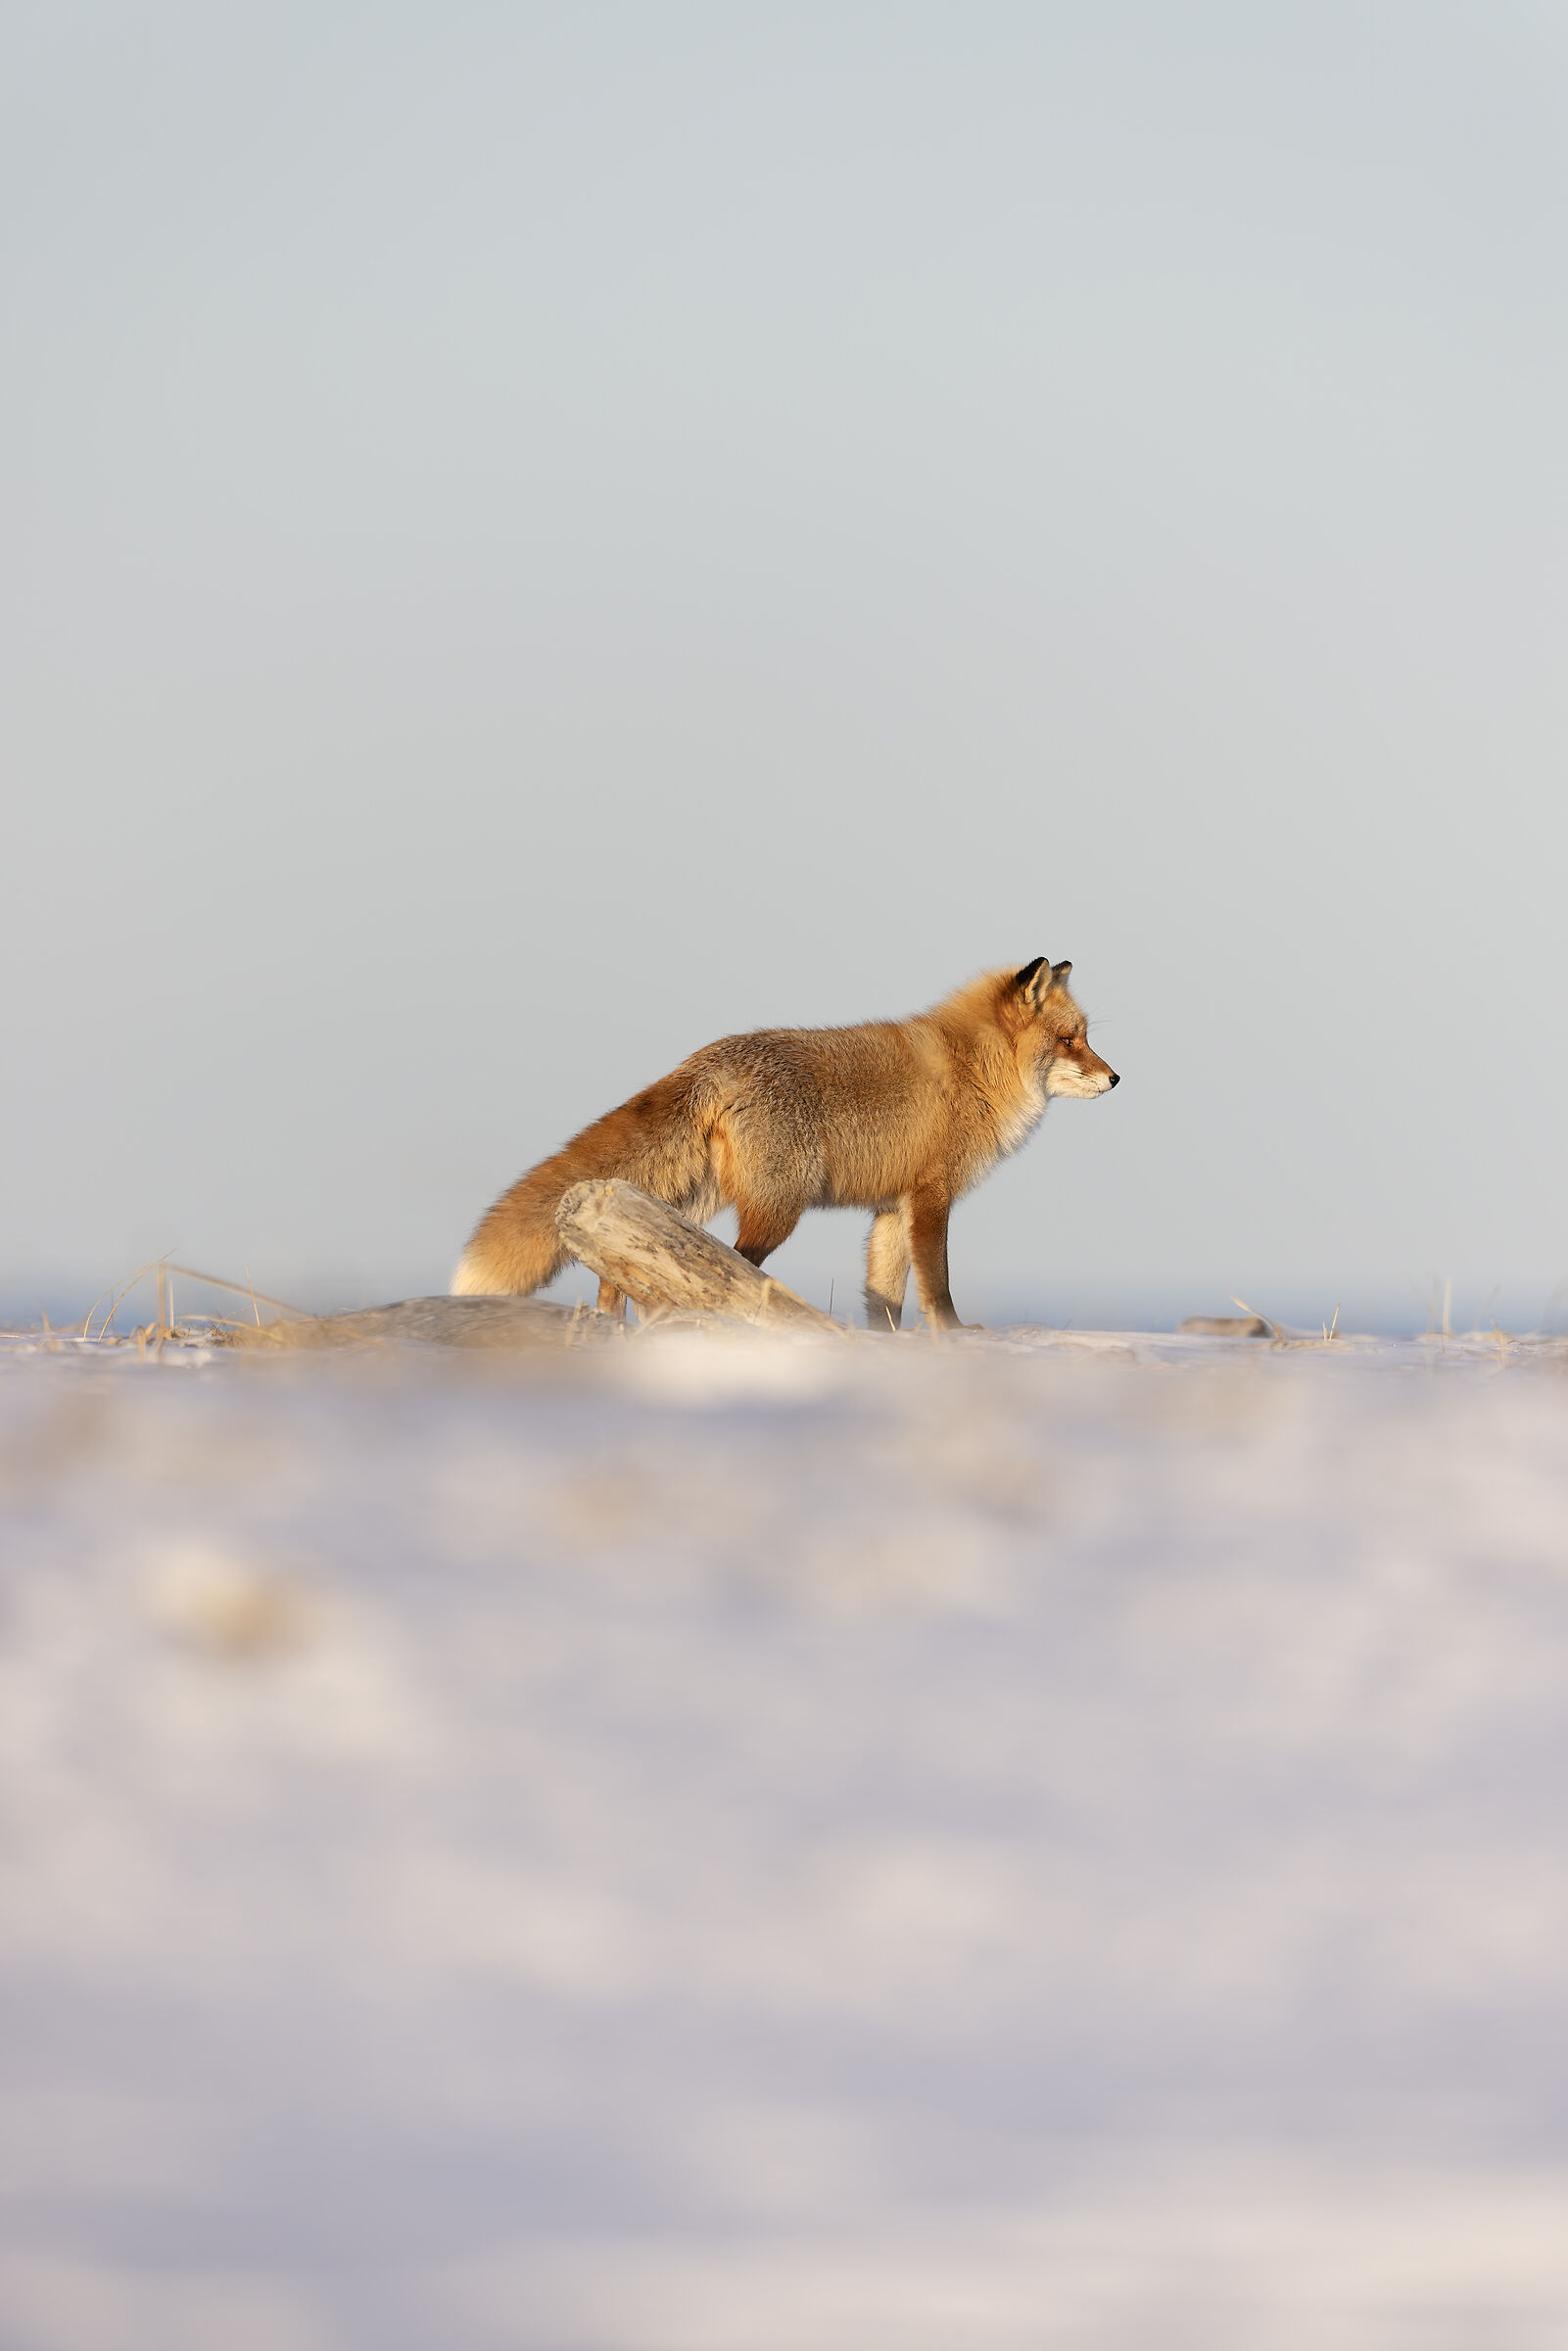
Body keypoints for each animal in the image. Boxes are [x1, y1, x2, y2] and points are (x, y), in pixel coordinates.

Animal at [452, 957, 1119, 1331]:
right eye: (1070, 1040)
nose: (1116, 1078)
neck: (974, 1068)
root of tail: (710, 1058)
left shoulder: (893, 1206)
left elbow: (885, 1296)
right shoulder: (931, 1197)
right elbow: (938, 1285)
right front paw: (954, 1336)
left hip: (684, 1203)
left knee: (621, 1263)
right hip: (777, 1209)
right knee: (726, 1268)